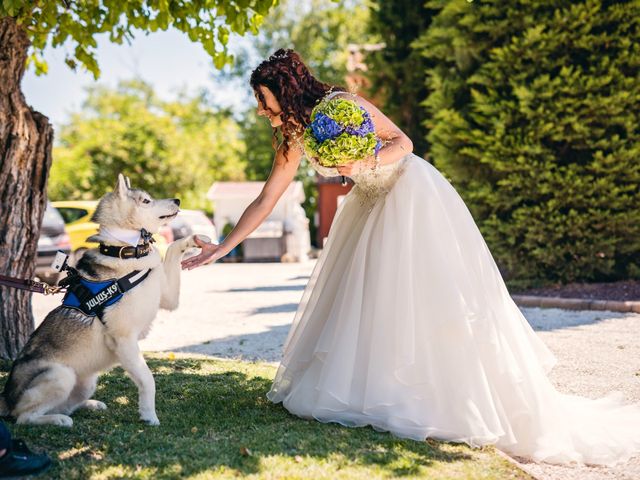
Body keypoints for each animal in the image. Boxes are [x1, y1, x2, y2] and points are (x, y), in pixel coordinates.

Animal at [0, 174, 201, 426]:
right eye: (146, 201)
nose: (177, 199)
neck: (127, 251)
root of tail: (5, 399)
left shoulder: (169, 300)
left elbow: (173, 247)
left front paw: (194, 240)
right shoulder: (124, 340)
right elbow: (147, 379)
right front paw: (149, 415)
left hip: (87, 382)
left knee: (67, 405)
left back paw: (90, 405)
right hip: (61, 375)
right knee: (25, 417)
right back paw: (57, 420)